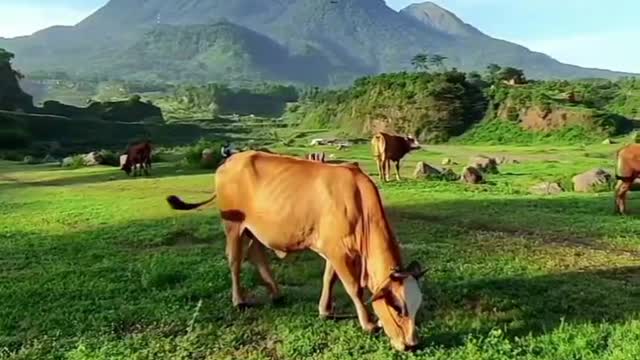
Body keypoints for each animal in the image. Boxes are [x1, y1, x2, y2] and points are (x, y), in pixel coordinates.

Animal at [166, 150, 424, 350]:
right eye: (398, 309)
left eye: (417, 306)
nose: (412, 345)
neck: (359, 205)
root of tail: (230, 160)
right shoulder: (338, 251)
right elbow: (354, 288)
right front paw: (369, 324)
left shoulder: (334, 249)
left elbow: (329, 279)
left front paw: (325, 311)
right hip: (233, 226)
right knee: (235, 260)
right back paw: (239, 300)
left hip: (255, 229)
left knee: (256, 254)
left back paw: (276, 293)